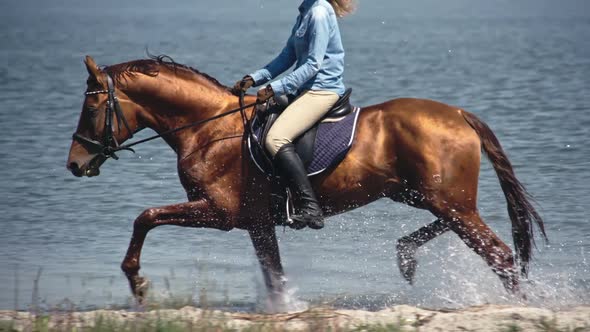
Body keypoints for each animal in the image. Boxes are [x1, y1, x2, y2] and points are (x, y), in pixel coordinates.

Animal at [68, 55, 544, 306]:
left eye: (91, 109)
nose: (74, 164)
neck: (208, 128)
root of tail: (459, 114)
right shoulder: (257, 223)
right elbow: (274, 273)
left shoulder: (219, 213)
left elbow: (146, 216)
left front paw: (137, 281)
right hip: (427, 196)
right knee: (457, 233)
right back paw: (406, 255)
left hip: (449, 201)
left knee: (500, 255)